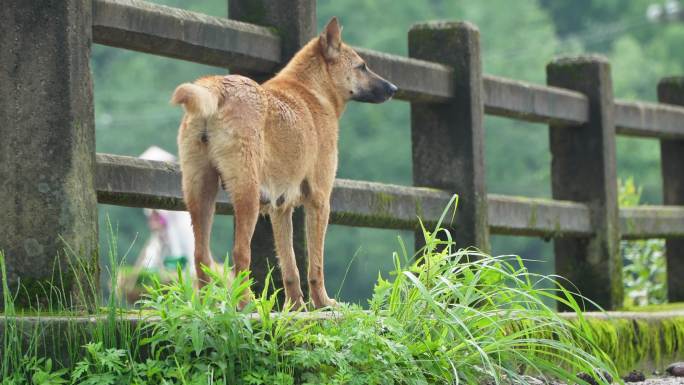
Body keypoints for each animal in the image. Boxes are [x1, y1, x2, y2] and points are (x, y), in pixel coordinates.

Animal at [170, 18, 396, 308]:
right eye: (362, 66)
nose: (394, 89)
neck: (312, 90)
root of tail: (217, 86)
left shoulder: (281, 209)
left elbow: (289, 266)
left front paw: (295, 306)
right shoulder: (319, 200)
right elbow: (315, 264)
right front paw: (322, 303)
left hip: (200, 193)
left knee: (200, 254)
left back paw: (206, 305)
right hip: (247, 194)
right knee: (240, 252)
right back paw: (245, 303)